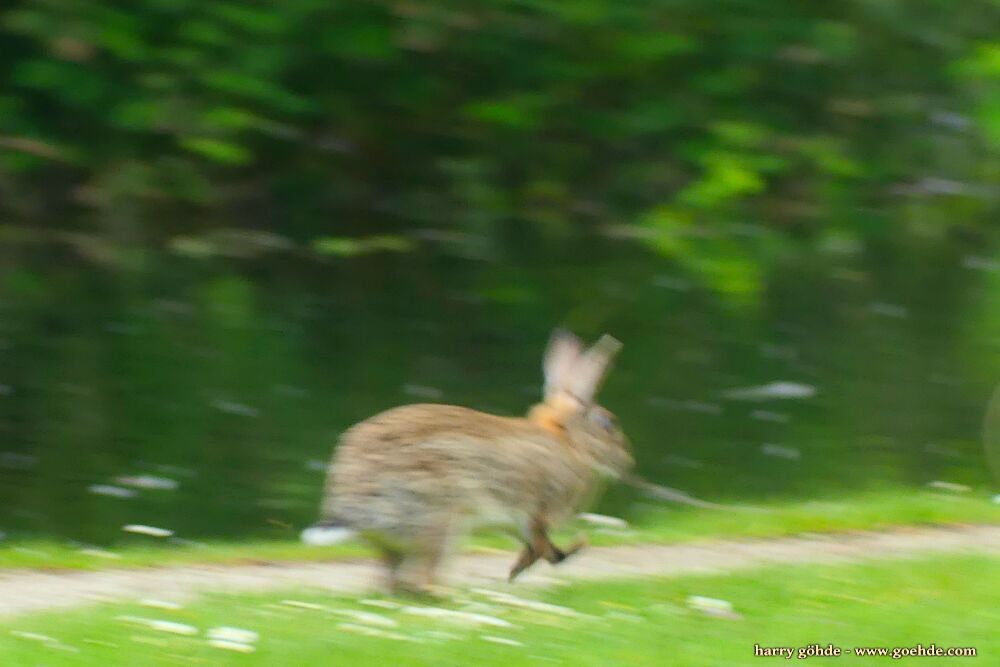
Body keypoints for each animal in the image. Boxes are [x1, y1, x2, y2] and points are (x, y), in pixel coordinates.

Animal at [302, 330, 632, 596]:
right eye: (608, 424)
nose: (627, 461)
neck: (568, 443)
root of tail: (352, 511)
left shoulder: (520, 521)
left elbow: (538, 547)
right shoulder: (535, 511)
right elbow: (540, 545)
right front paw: (570, 549)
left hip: (405, 538)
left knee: (390, 579)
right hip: (441, 519)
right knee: (419, 578)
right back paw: (450, 596)